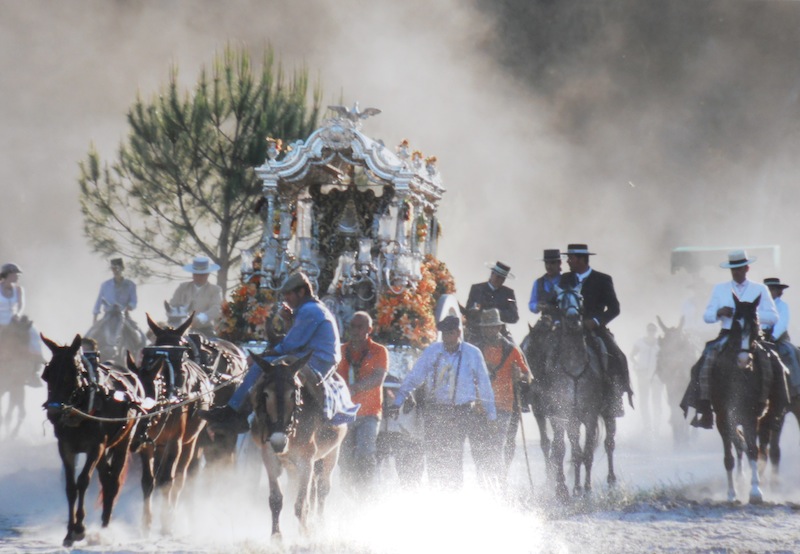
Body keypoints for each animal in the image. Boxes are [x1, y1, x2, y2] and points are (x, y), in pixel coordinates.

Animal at [40, 333, 145, 547]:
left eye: (72, 374)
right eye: (47, 375)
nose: (54, 413)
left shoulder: (95, 446)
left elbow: (83, 481)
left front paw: (80, 528)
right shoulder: (66, 447)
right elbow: (71, 487)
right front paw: (69, 532)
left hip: (124, 440)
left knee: (113, 482)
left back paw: (105, 526)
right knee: (105, 478)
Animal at [127, 313, 213, 533]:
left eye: (181, 351)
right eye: (153, 348)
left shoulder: (175, 441)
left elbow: (168, 480)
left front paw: (167, 521)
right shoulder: (148, 444)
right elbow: (148, 481)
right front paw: (146, 521)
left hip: (190, 441)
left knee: (182, 476)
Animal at [249, 354, 347, 537]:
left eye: (292, 394)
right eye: (266, 394)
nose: (278, 440)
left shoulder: (305, 462)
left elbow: (301, 504)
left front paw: (305, 535)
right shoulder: (270, 459)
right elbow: (276, 500)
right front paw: (276, 536)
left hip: (332, 453)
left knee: (322, 489)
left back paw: (319, 525)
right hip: (292, 466)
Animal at [544, 283, 608, 499]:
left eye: (580, 297)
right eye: (558, 300)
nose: (573, 318)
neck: (574, 366)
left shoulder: (589, 415)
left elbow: (586, 452)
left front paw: (586, 488)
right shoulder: (561, 414)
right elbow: (562, 450)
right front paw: (564, 488)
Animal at [709, 293, 770, 503]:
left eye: (756, 324)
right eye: (736, 323)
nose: (744, 360)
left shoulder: (752, 415)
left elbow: (753, 449)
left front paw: (756, 491)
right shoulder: (722, 416)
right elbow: (729, 456)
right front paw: (731, 493)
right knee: (738, 445)